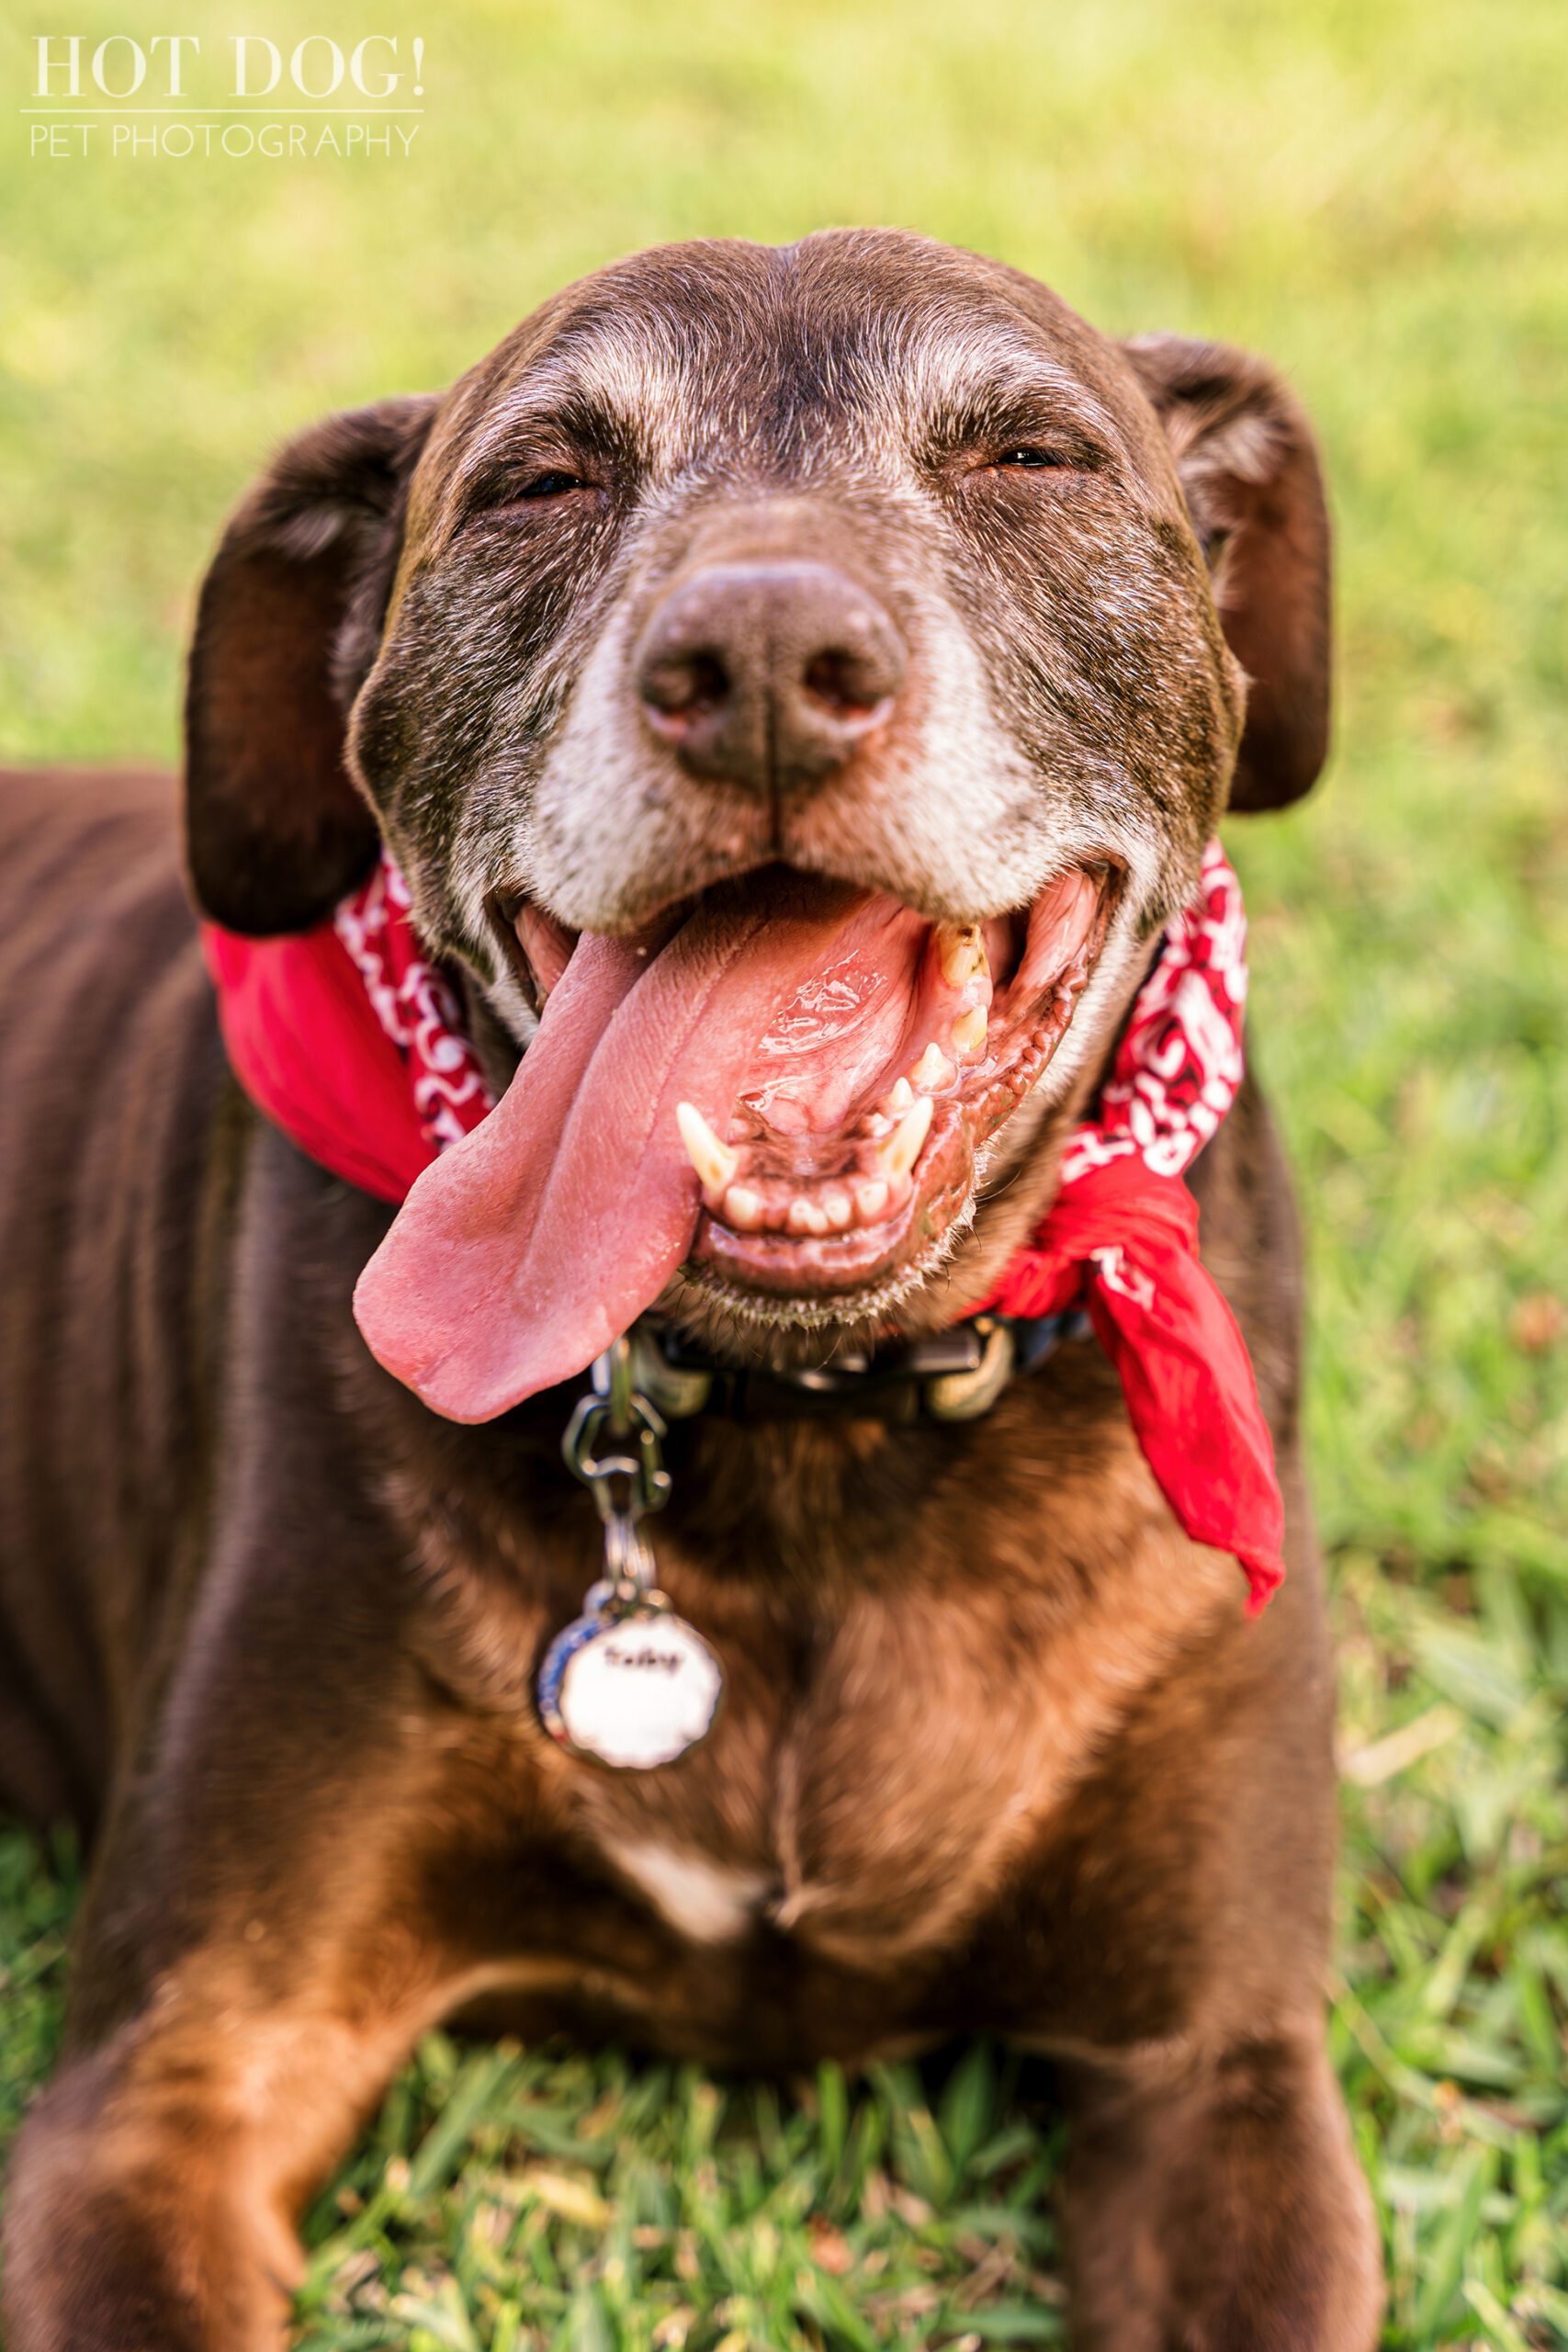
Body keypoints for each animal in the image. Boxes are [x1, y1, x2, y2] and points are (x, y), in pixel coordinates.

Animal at [0, 224, 1382, 2352]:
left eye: (1032, 459)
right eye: (540, 484)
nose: (761, 668)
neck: (818, 1420)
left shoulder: (1212, 2065)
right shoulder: (180, 2067)